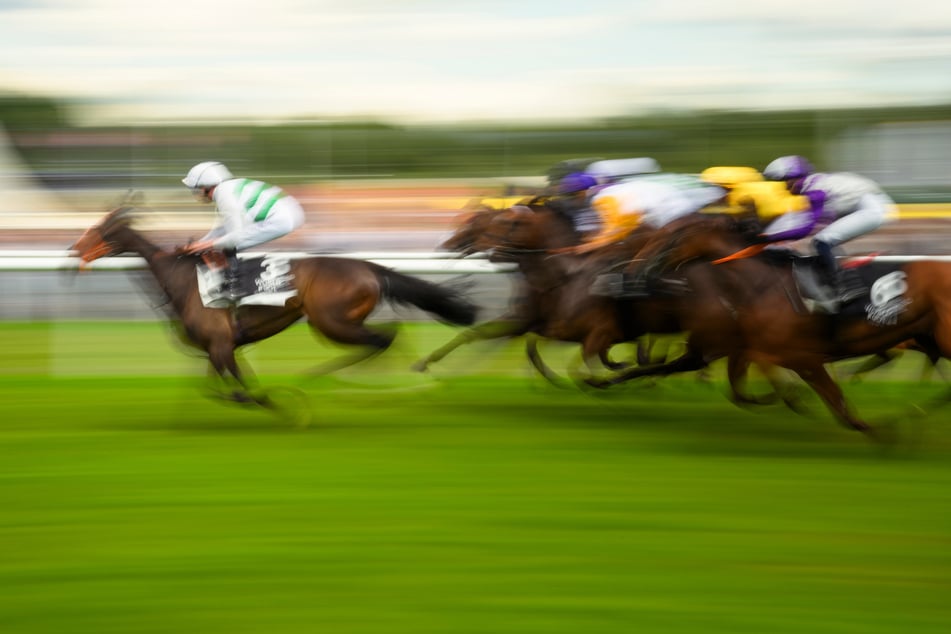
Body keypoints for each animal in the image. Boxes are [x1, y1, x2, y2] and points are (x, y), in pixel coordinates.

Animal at [70, 202, 480, 404]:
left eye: (99, 230)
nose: (73, 248)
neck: (181, 279)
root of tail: (369, 267)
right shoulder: (219, 347)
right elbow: (217, 387)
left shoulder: (221, 345)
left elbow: (242, 390)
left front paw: (275, 401)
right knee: (387, 338)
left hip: (330, 321)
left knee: (383, 338)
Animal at [596, 212, 951, 430]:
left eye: (671, 235)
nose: (631, 271)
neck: (758, 285)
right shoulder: (737, 349)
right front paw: (605, 381)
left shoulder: (801, 357)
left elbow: (839, 407)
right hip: (928, 338)